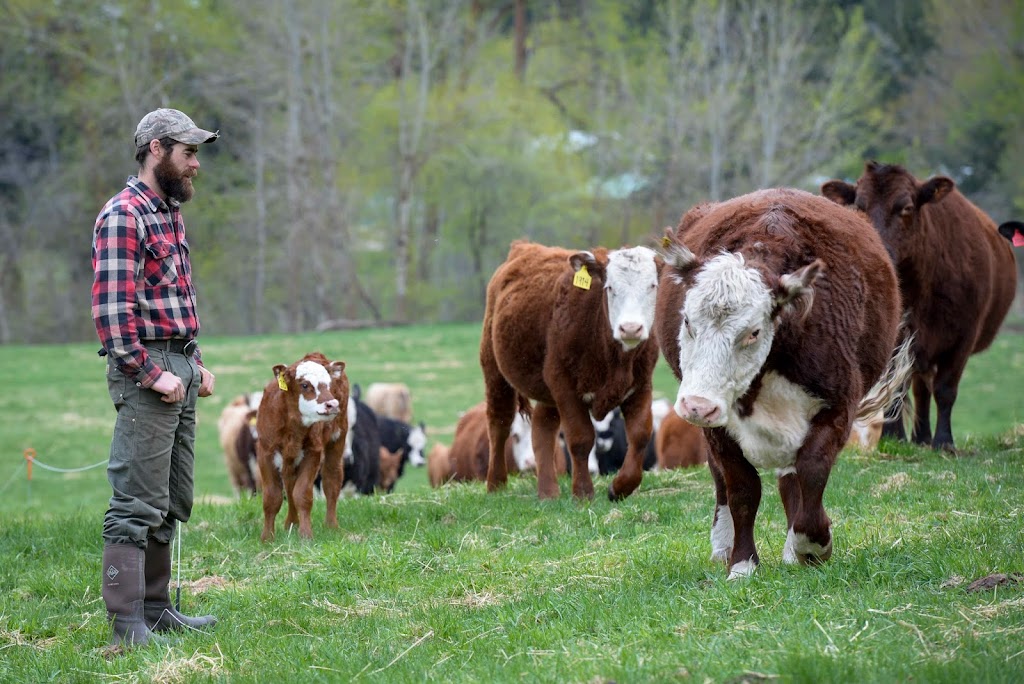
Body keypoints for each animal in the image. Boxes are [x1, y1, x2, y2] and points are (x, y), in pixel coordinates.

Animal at [258, 352, 350, 540]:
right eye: (305, 385)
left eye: (328, 384)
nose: (333, 405)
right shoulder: (265, 453)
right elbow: (272, 497)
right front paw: (267, 537)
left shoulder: (312, 453)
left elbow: (302, 495)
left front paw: (306, 535)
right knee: (289, 484)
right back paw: (291, 523)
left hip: (338, 439)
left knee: (332, 480)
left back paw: (331, 525)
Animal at [655, 189, 913, 581]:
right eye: (686, 321)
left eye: (753, 332)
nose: (697, 406)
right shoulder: (719, 427)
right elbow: (742, 488)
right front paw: (742, 564)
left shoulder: (837, 407)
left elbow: (811, 472)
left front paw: (812, 544)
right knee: (721, 479)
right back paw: (723, 545)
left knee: (791, 475)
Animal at [819, 160, 1019, 448]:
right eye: (859, 206)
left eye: (906, 207)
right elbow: (895, 389)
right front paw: (894, 437)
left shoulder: (963, 338)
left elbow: (945, 389)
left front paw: (944, 442)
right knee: (919, 388)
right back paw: (920, 436)